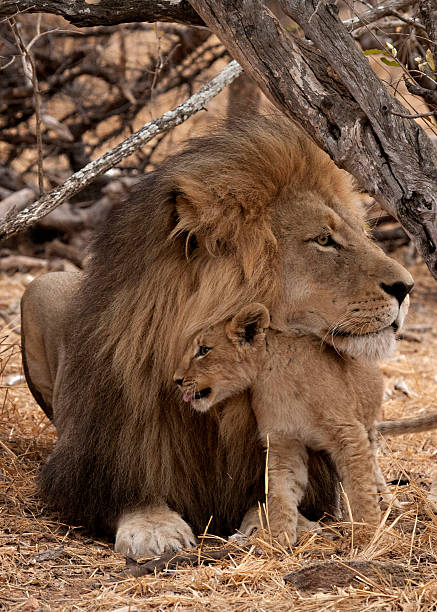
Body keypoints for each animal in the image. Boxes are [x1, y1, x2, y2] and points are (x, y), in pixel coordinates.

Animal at [21, 112, 416, 556]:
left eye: (360, 234)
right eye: (324, 240)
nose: (407, 287)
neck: (223, 405)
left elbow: (281, 491)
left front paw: (276, 525)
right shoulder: (90, 463)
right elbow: (130, 492)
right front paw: (154, 528)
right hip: (39, 287)